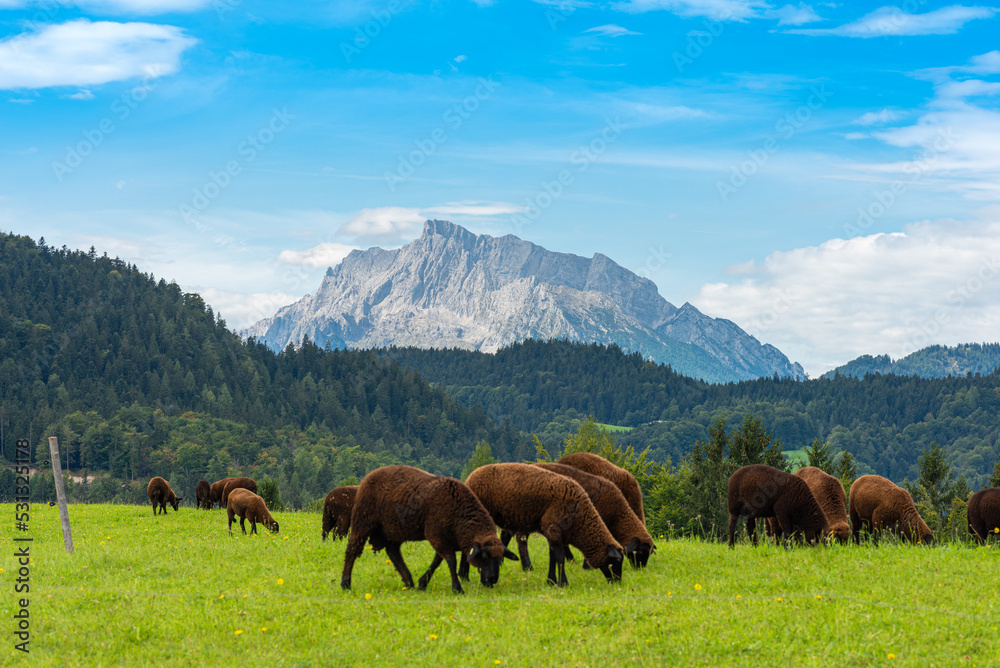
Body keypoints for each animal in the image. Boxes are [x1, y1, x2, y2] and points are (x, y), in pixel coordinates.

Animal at [342, 464, 520, 596]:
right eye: (483, 556)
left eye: (500, 558)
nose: (492, 580)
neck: (459, 514)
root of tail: (369, 475)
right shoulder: (436, 535)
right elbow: (450, 561)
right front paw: (457, 588)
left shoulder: (443, 538)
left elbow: (437, 561)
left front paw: (422, 583)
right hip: (363, 520)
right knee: (352, 550)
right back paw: (345, 583)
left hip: (393, 529)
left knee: (393, 551)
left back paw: (408, 582)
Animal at [462, 462, 620, 588]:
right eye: (617, 560)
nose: (618, 582)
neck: (580, 522)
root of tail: (471, 476)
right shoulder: (553, 529)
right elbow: (560, 558)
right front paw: (563, 583)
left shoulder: (552, 533)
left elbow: (553, 557)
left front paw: (552, 581)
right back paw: (464, 576)